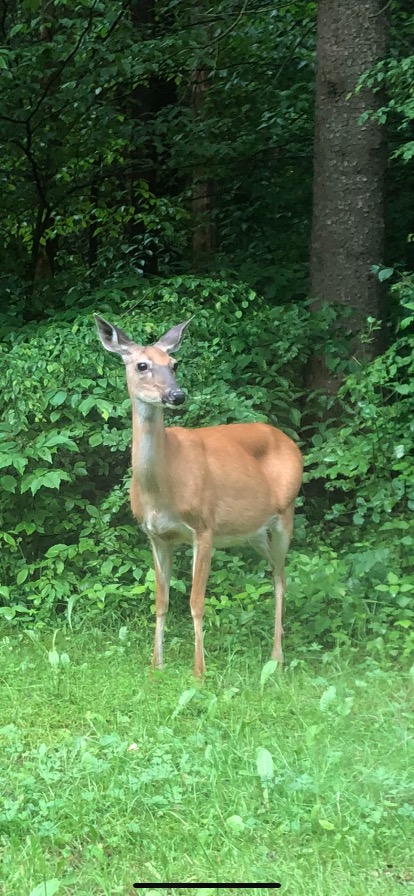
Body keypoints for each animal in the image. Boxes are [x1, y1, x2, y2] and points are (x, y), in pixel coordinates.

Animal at [94, 314, 300, 672]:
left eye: (174, 364)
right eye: (142, 365)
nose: (177, 395)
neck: (163, 486)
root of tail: (288, 440)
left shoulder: (203, 527)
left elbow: (196, 602)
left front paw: (199, 672)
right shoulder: (155, 535)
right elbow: (161, 601)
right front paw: (156, 667)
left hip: (286, 513)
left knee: (281, 577)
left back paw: (276, 657)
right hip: (252, 531)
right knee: (275, 571)